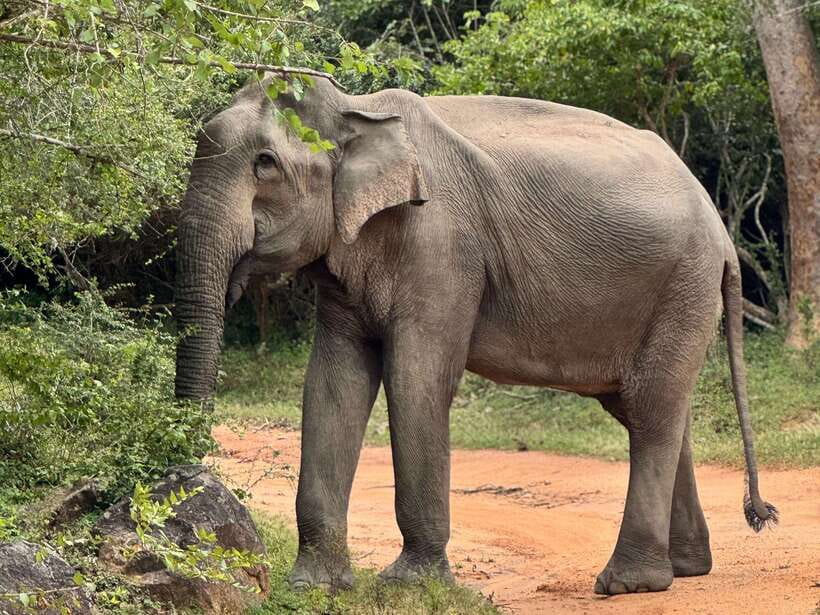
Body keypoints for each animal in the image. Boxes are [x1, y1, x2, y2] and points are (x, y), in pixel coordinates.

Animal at [173, 74, 777, 596]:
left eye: (266, 164)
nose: (189, 482)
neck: (356, 108)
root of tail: (721, 232)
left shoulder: (441, 246)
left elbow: (417, 380)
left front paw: (410, 586)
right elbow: (331, 385)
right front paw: (316, 587)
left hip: (682, 282)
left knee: (651, 409)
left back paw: (627, 583)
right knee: (652, 408)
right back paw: (686, 569)